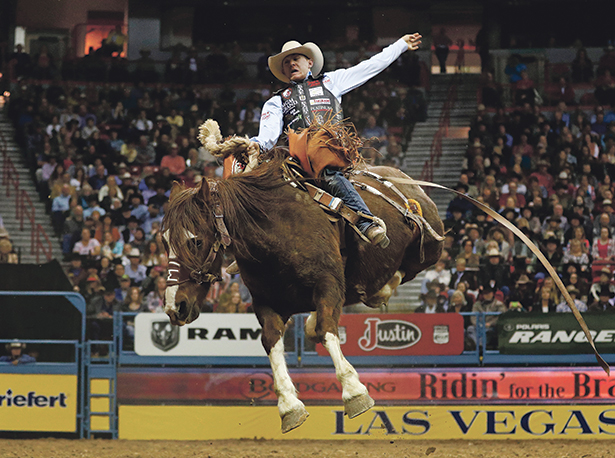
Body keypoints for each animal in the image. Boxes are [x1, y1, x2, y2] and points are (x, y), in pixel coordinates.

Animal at [161, 144, 446, 432]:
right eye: (164, 242)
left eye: (195, 241)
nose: (175, 306)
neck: (275, 229)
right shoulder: (266, 301)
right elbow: (271, 341)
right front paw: (289, 406)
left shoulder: (328, 284)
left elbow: (327, 330)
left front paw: (354, 392)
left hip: (430, 248)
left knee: (405, 269)